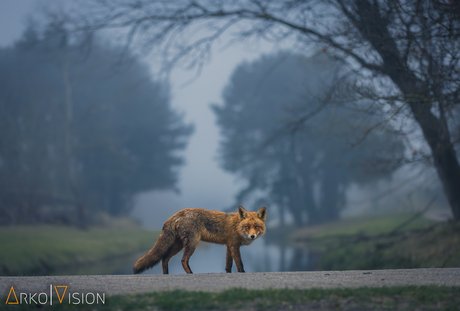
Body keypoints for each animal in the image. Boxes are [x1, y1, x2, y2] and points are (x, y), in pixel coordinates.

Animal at [132, 207, 266, 276]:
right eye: (247, 227)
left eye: (256, 227)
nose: (252, 236)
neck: (237, 226)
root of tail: (179, 212)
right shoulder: (234, 245)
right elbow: (239, 263)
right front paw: (242, 273)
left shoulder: (229, 246)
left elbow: (228, 265)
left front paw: (228, 274)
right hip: (192, 243)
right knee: (183, 260)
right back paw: (191, 273)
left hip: (178, 245)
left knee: (165, 258)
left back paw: (166, 274)